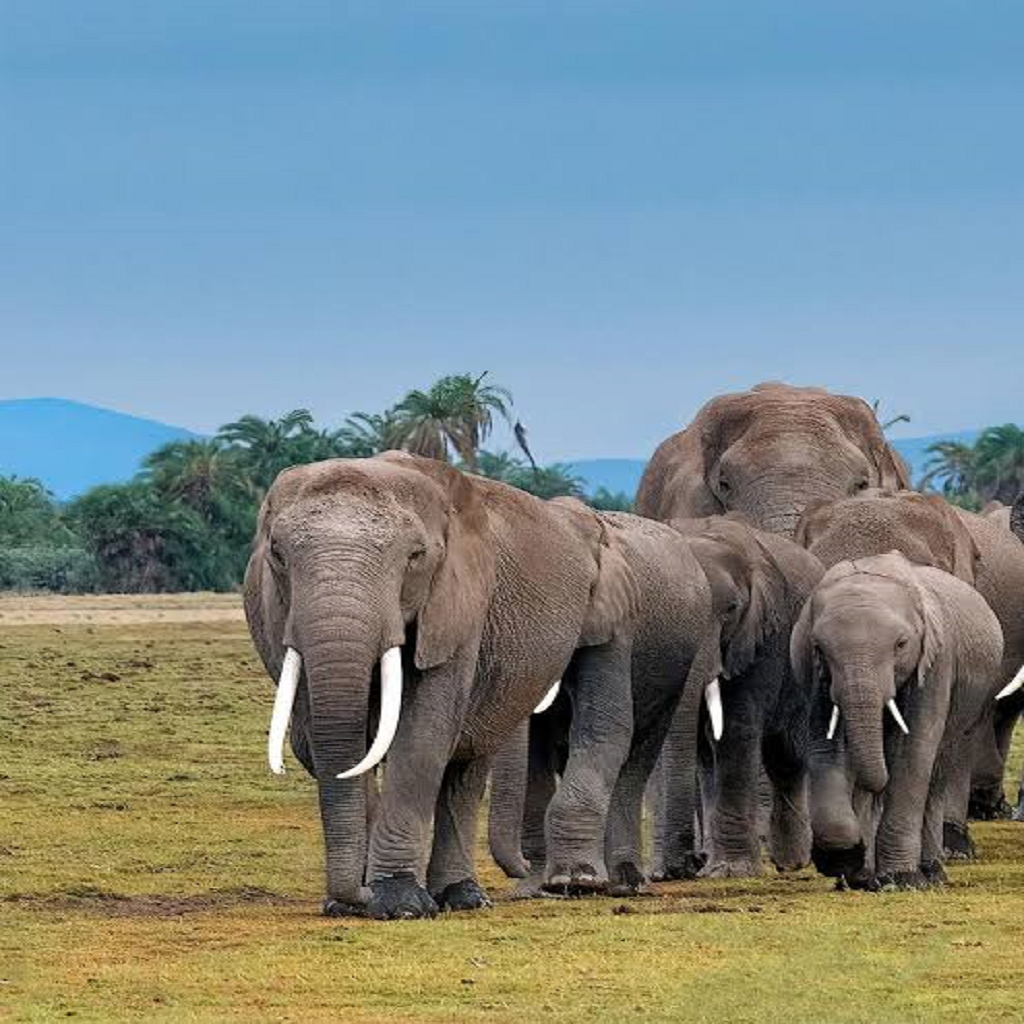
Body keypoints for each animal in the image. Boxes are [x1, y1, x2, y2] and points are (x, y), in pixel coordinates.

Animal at [244, 452, 642, 919]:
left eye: (415, 556)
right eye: (277, 554)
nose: (355, 898)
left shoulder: (459, 608)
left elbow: (423, 737)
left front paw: (398, 905)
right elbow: (325, 743)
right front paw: (356, 902)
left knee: (466, 766)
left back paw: (462, 897)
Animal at [486, 509, 714, 896]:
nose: (521, 868)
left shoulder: (618, 624)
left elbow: (604, 728)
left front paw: (575, 881)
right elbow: (537, 750)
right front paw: (537, 889)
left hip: (673, 670)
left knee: (637, 755)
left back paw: (624, 883)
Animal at [652, 517, 824, 879]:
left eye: (730, 609)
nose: (687, 865)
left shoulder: (763, 637)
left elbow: (735, 730)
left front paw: (731, 871)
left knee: (787, 756)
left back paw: (791, 862)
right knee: (707, 759)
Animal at [792, 552, 1004, 890]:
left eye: (901, 645)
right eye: (819, 648)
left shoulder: (936, 663)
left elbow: (912, 751)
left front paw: (903, 880)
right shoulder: (811, 670)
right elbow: (824, 746)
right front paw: (844, 860)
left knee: (937, 773)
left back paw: (931, 873)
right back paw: (865, 878)